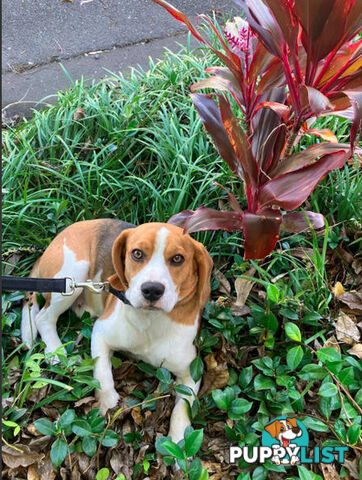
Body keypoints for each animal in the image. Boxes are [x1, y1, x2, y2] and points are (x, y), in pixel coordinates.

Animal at [21, 219, 212, 440]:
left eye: (178, 258)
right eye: (137, 253)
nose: (152, 290)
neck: (150, 320)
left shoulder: (191, 372)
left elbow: (183, 408)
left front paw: (180, 440)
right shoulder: (100, 333)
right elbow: (102, 374)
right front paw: (108, 405)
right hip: (72, 276)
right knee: (43, 317)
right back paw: (55, 350)